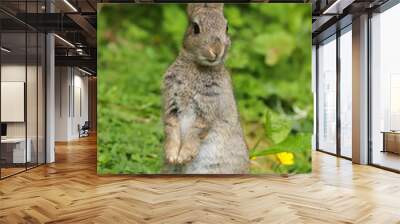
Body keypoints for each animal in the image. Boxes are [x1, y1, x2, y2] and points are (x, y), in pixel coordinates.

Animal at [161, 3, 248, 174]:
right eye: (196, 28)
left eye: (226, 27)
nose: (216, 50)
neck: (198, 66)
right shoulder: (171, 102)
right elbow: (171, 127)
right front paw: (173, 156)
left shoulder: (207, 109)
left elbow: (197, 131)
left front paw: (183, 157)